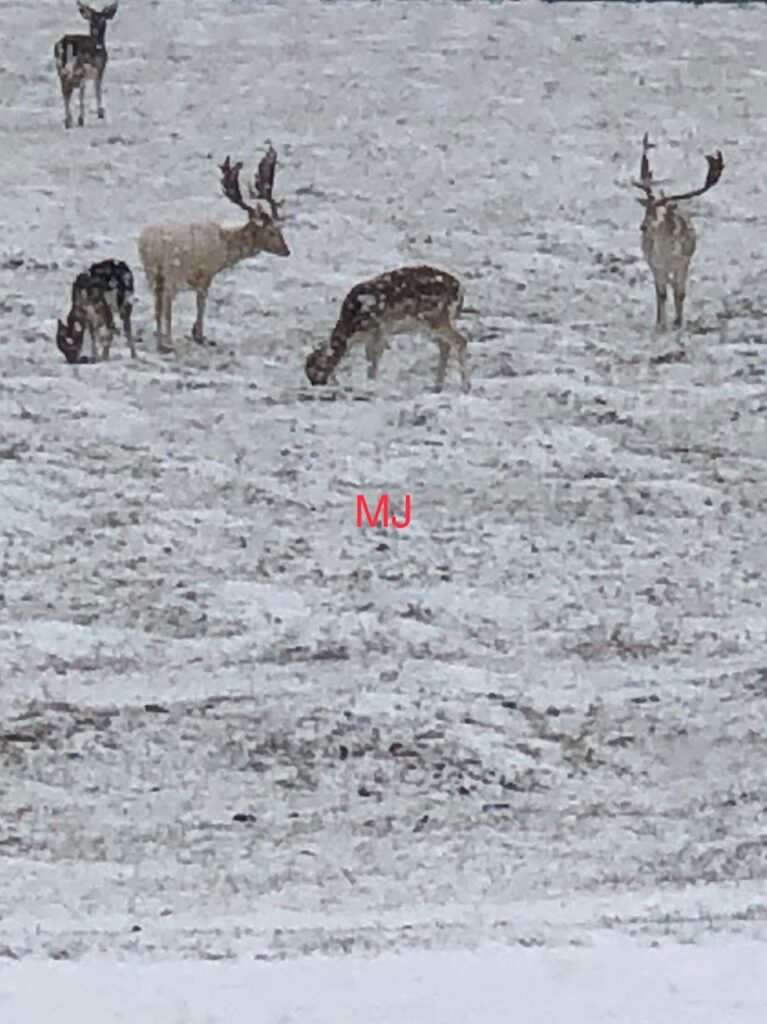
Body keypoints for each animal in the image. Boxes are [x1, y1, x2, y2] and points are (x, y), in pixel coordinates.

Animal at [137, 146, 290, 353]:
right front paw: (199, 335)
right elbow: (201, 303)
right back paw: (168, 342)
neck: (224, 249)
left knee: (157, 305)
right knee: (167, 304)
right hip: (171, 271)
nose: (287, 251)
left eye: (281, 229)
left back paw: (161, 342)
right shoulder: (205, 273)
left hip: (151, 273)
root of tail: (148, 242)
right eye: (272, 231)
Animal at [305, 265, 471, 393]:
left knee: (460, 341)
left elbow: (374, 358)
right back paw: (438, 385)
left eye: (316, 368)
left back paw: (465, 387)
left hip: (435, 317)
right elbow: (370, 356)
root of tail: (460, 290)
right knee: (445, 345)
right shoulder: (373, 334)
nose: (316, 383)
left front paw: (371, 382)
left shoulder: (380, 328)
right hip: (434, 323)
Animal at [633, 133, 724, 332]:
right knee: (661, 291)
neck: (667, 253)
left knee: (675, 288)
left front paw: (678, 322)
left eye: (662, 213)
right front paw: (661, 324)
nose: (643, 227)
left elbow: (680, 292)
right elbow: (661, 293)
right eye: (647, 210)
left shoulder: (684, 261)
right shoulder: (656, 264)